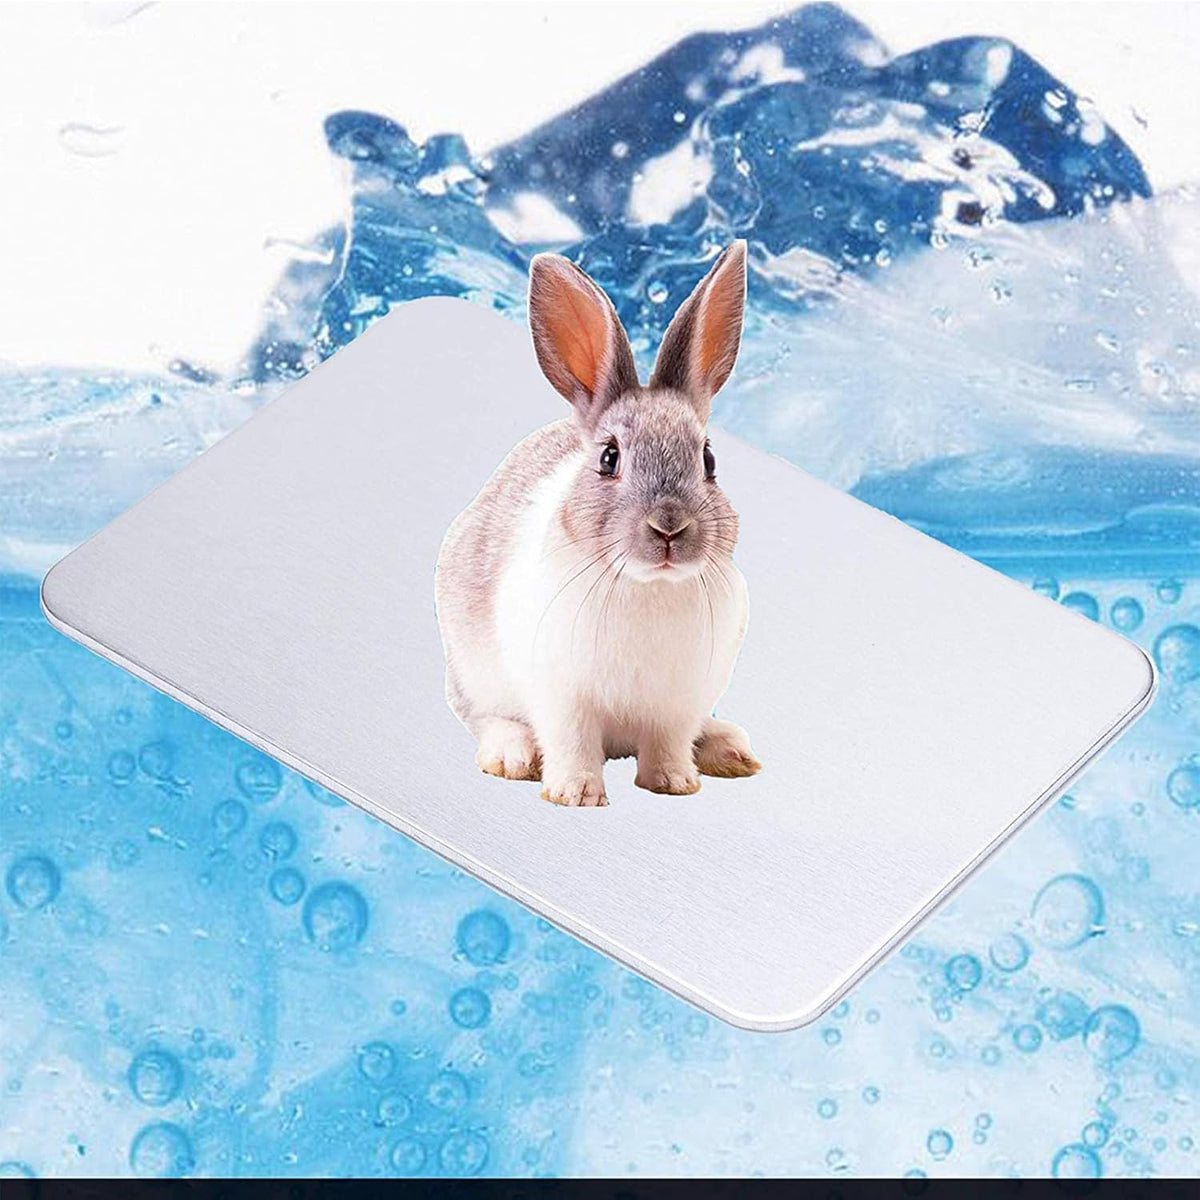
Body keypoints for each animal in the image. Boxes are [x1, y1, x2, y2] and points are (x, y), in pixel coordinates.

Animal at [435, 241, 760, 806]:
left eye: (708, 460)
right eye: (609, 458)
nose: (669, 528)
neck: (648, 586)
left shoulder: (678, 704)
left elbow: (668, 744)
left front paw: (674, 784)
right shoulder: (562, 696)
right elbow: (572, 742)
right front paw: (576, 795)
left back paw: (729, 750)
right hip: (473, 672)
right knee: (483, 716)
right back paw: (511, 755)